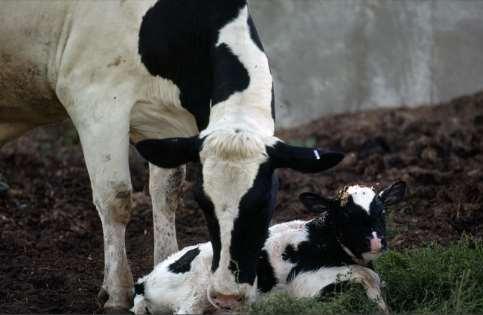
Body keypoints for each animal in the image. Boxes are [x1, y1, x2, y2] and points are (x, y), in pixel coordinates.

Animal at [0, 0, 344, 312]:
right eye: (204, 205)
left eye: (264, 204)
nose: (228, 296)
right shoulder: (95, 101)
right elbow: (115, 198)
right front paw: (116, 292)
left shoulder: (165, 129)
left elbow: (166, 192)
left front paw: (165, 262)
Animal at [130, 181, 406, 314]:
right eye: (346, 216)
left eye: (382, 211)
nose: (375, 241)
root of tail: (145, 279)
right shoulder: (305, 282)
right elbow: (367, 276)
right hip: (195, 294)